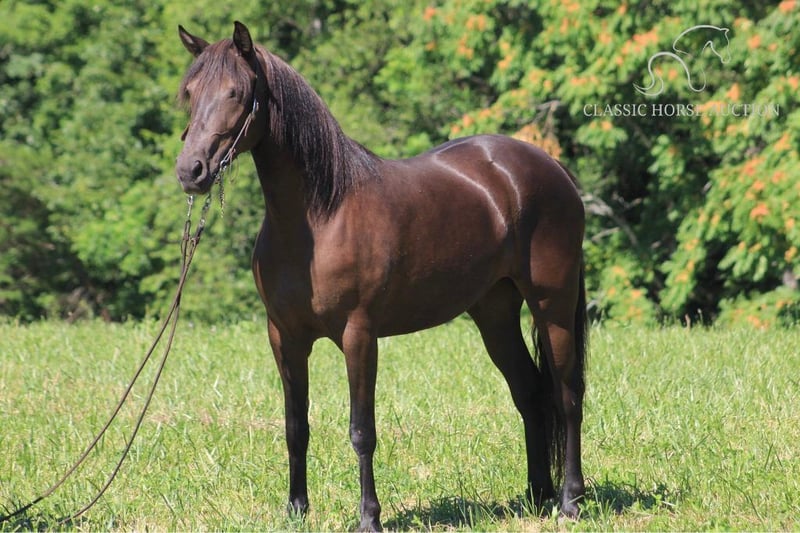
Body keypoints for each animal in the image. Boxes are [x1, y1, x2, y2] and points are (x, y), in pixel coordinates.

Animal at [175, 21, 587, 531]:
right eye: (190, 92)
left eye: (235, 92)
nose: (190, 171)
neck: (319, 217)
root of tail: (550, 167)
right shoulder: (284, 337)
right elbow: (295, 425)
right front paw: (296, 508)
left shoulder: (359, 335)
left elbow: (361, 430)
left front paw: (369, 516)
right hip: (494, 313)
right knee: (530, 392)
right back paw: (536, 494)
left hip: (552, 305)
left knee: (568, 395)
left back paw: (570, 500)